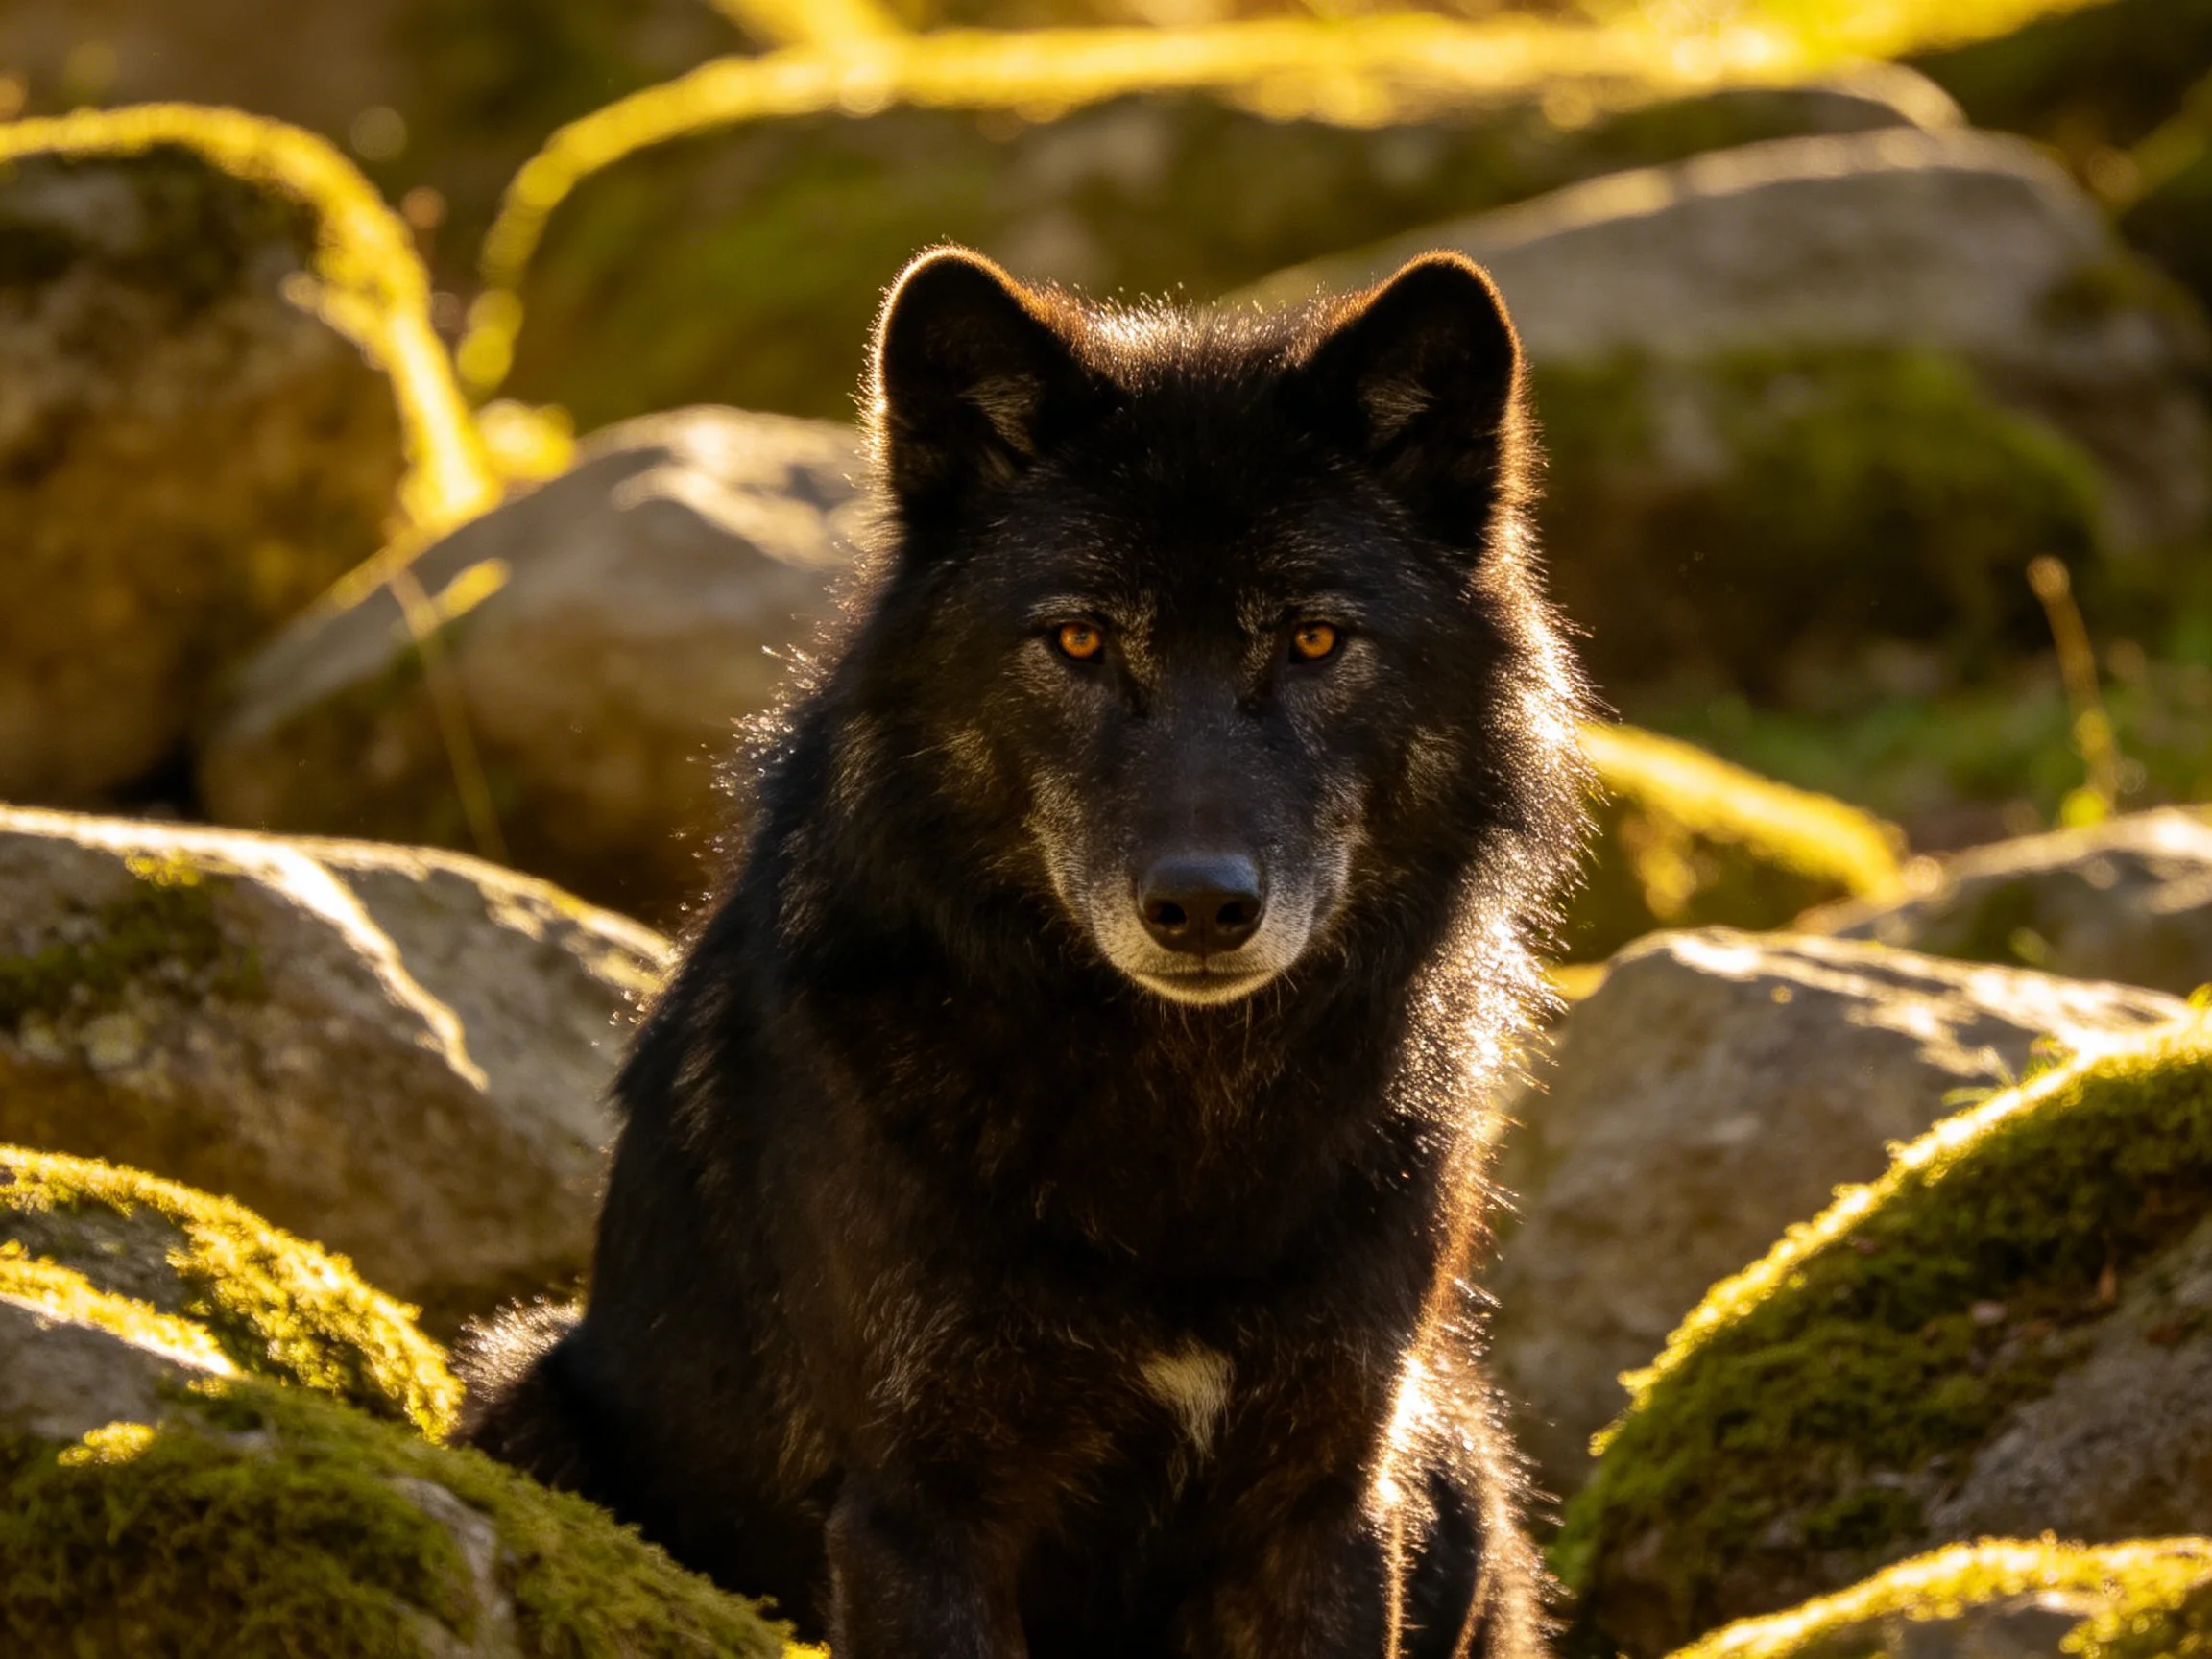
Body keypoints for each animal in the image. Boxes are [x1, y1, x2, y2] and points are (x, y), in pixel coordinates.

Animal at [459, 244, 1589, 1659]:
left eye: (1316, 640)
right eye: (1080, 640)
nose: (1201, 905)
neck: (1180, 1133)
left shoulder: (1322, 1507)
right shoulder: (921, 1512)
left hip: (1453, 1467)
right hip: (515, 1392)